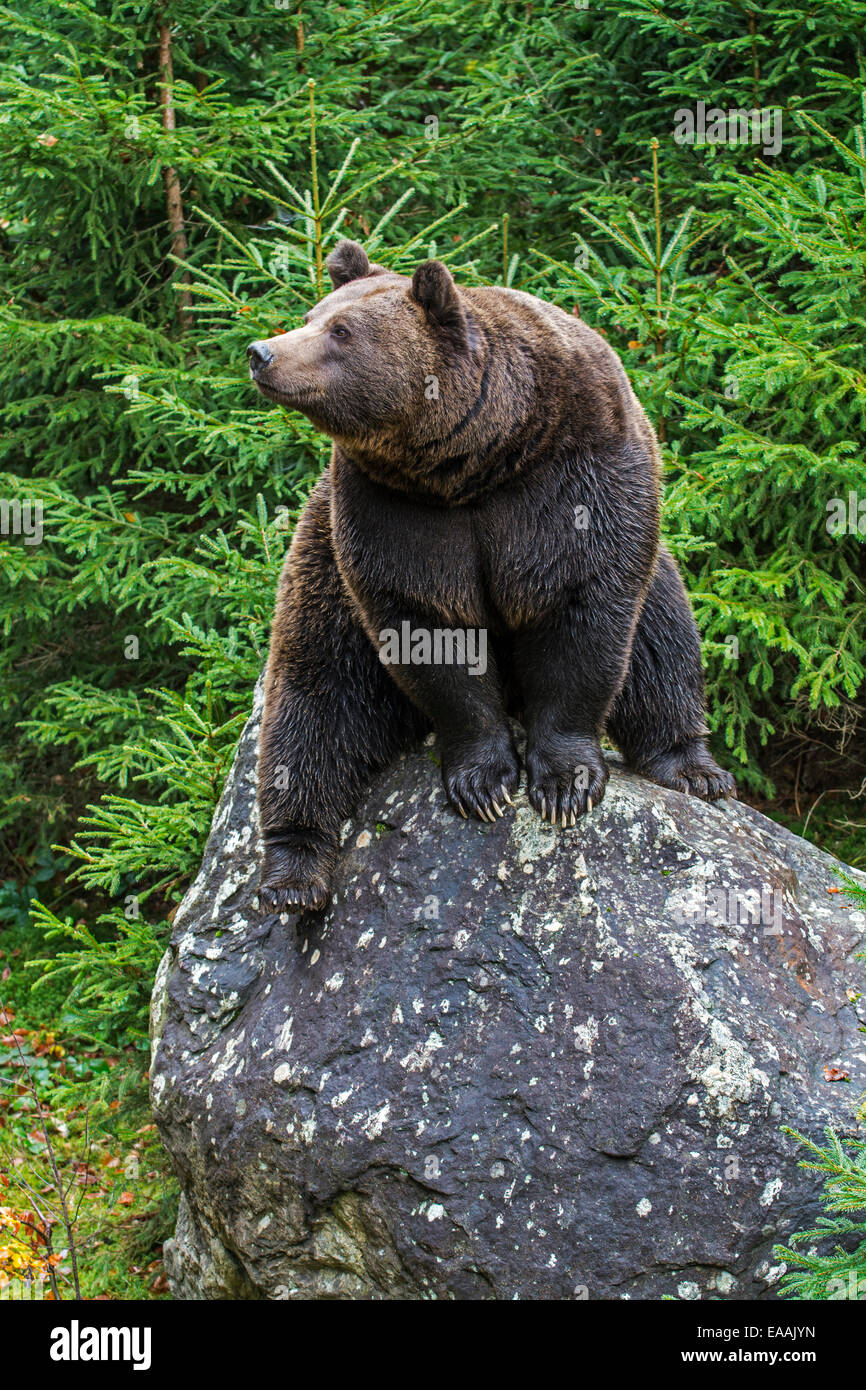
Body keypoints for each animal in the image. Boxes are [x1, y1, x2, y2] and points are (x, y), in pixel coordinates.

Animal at [248, 239, 735, 911]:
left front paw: (564, 784)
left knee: (665, 642)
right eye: (312, 313)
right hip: (322, 576)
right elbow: (430, 633)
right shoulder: (391, 516)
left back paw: (692, 767)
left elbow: (583, 614)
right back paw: (293, 874)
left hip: (656, 565)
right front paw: (484, 782)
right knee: (311, 706)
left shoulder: (575, 484)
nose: (261, 352)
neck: (472, 460)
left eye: (340, 330)